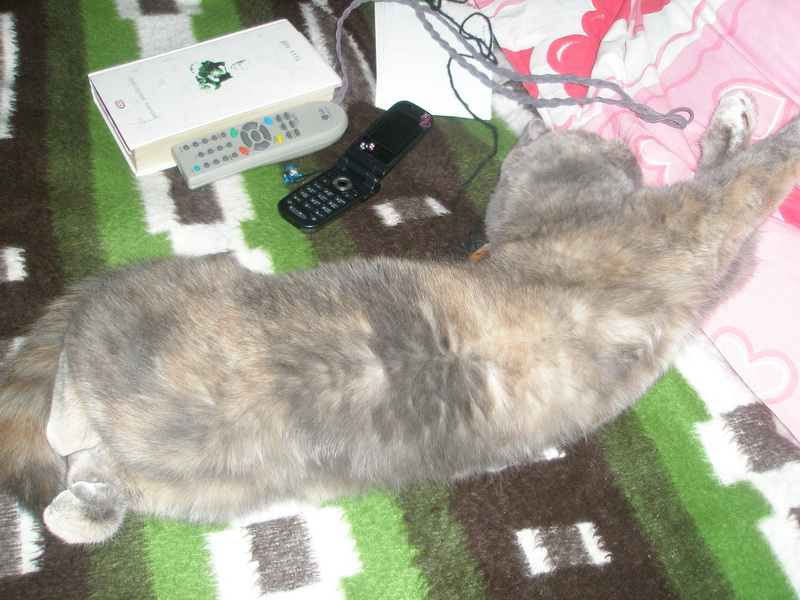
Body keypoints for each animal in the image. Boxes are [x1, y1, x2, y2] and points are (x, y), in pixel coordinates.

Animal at [1, 91, 798, 544]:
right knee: (70, 370)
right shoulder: (696, 222)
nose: (623, 149)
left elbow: (733, 185)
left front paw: (729, 122)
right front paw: (748, 123)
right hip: (152, 307)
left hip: (198, 483)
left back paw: (80, 490)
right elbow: (755, 172)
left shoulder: (712, 261)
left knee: (87, 485)